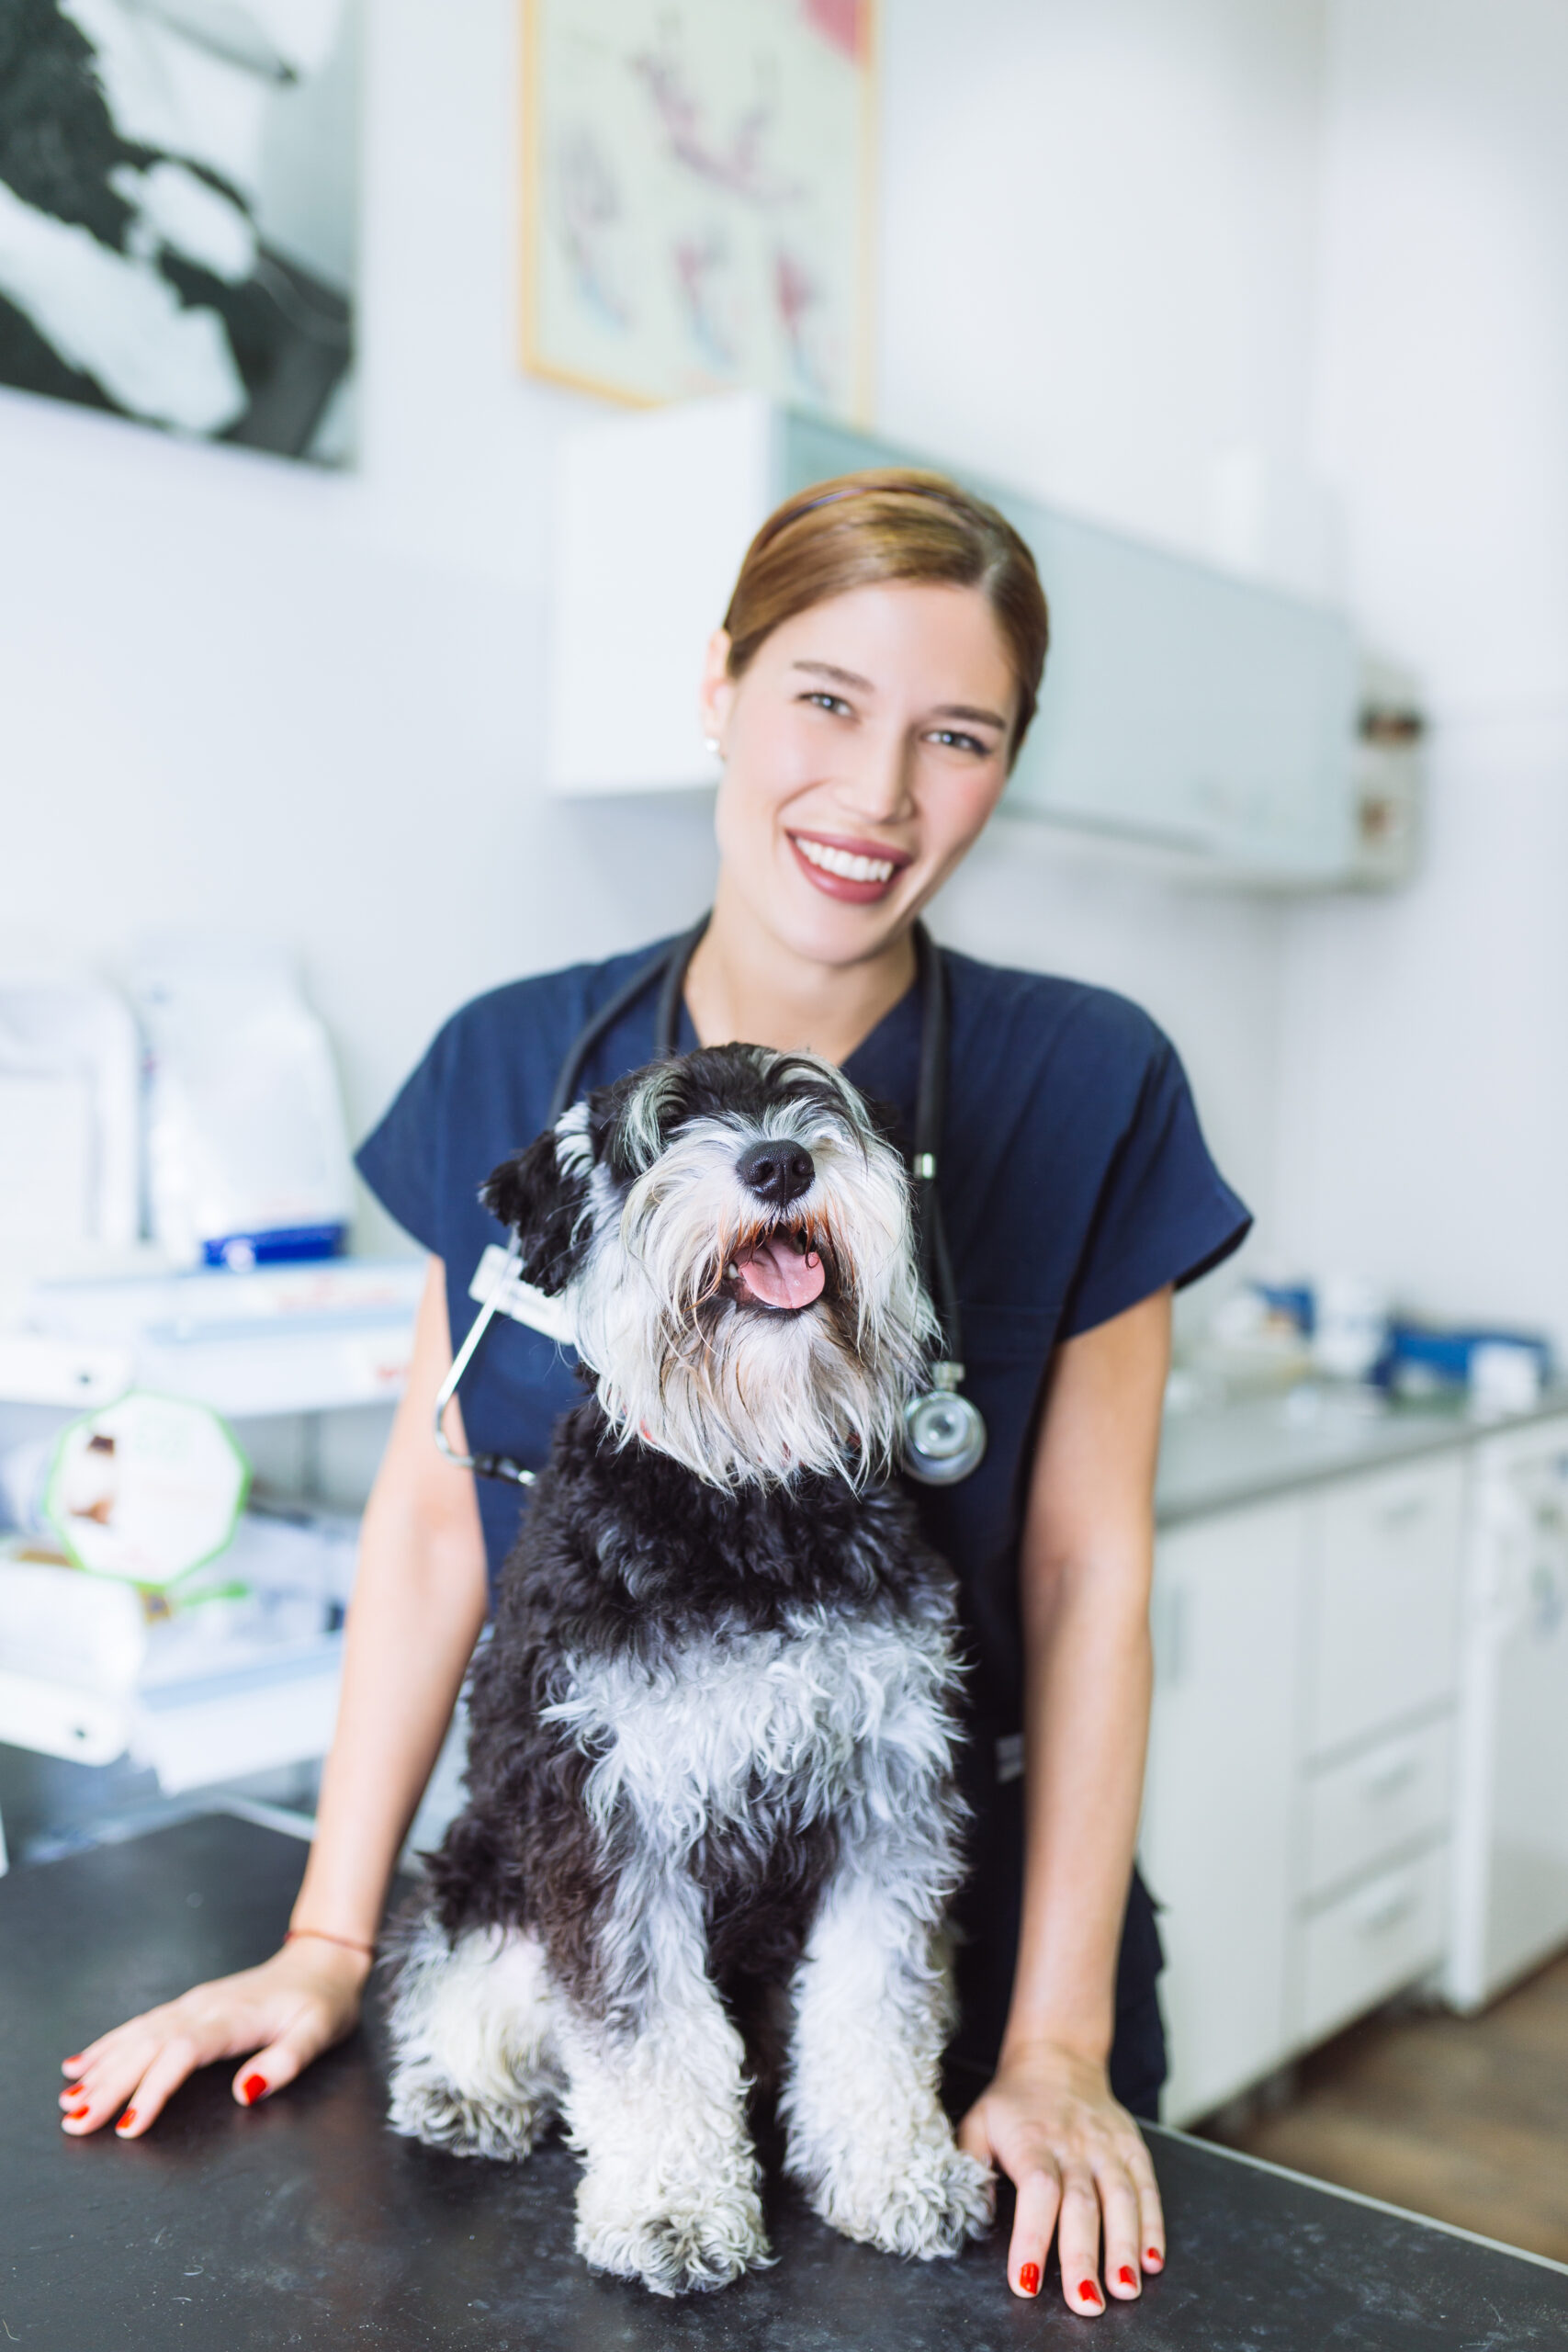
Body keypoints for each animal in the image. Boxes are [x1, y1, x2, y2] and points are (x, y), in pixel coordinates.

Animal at [383, 1048, 991, 2295]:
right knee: (468, 1981)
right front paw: (674, 2208)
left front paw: (896, 2171)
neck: (748, 1500)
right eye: (662, 1132)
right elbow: (646, 2032)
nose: (780, 1161)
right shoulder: (612, 1823)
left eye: (821, 1104)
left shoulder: (888, 1800)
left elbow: (873, 2005)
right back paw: (464, 2087)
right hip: (484, 1870)